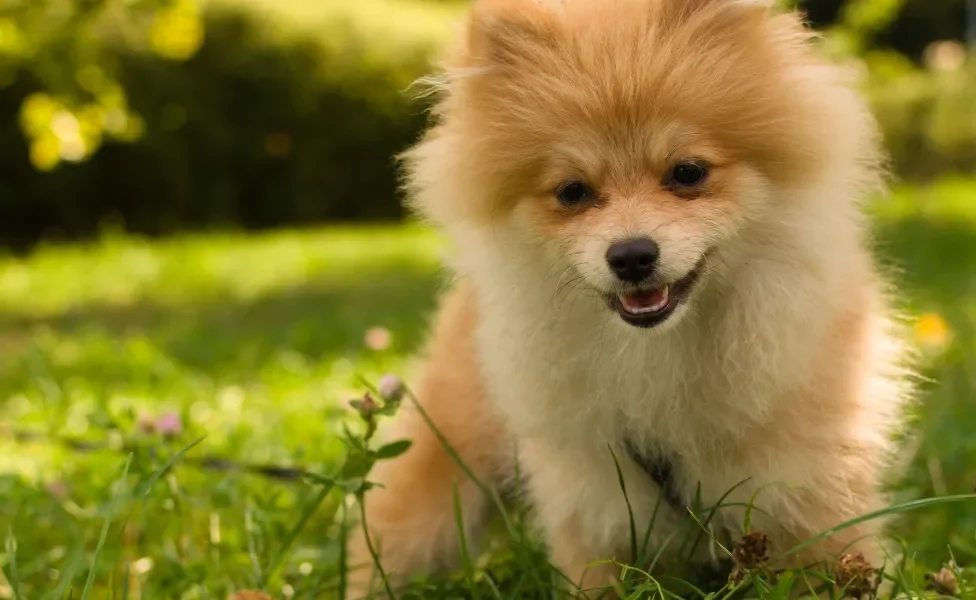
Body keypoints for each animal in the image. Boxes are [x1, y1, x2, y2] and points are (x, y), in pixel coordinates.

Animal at [348, 0, 908, 596]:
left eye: (688, 173)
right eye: (572, 191)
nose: (632, 255)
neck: (658, 354)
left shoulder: (812, 487)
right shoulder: (594, 503)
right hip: (442, 470)